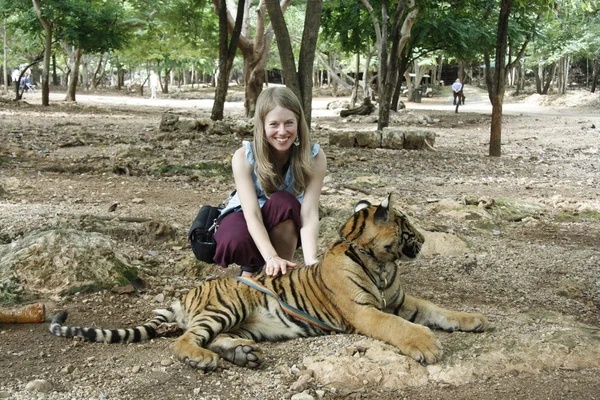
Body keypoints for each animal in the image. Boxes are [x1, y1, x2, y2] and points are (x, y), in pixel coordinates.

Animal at [50, 194, 488, 368]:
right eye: (407, 224)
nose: (426, 240)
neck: (381, 264)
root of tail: (190, 291)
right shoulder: (367, 311)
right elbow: (398, 326)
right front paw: (426, 345)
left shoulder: (401, 300)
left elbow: (436, 309)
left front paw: (472, 319)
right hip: (228, 305)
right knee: (186, 339)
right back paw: (202, 359)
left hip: (245, 323)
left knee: (214, 337)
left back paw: (241, 354)